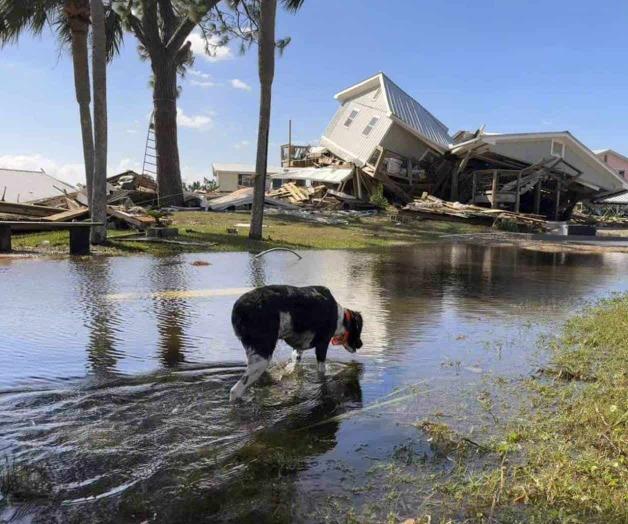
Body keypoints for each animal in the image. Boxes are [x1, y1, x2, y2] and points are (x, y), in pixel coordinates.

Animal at [229, 284, 364, 400]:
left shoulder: (298, 349)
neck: (339, 317)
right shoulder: (322, 344)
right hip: (261, 359)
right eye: (359, 330)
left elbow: (295, 364)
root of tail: (239, 308)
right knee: (235, 391)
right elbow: (321, 371)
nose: (361, 344)